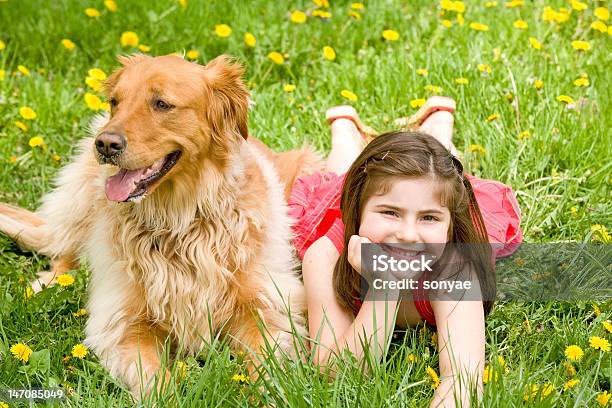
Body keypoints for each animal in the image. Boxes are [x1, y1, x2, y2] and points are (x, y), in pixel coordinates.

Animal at [0, 54, 322, 398]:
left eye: (162, 104)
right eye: (115, 102)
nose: (105, 144)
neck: (179, 220)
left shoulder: (269, 307)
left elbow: (266, 366)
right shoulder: (122, 324)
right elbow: (155, 379)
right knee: (62, 252)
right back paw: (45, 286)